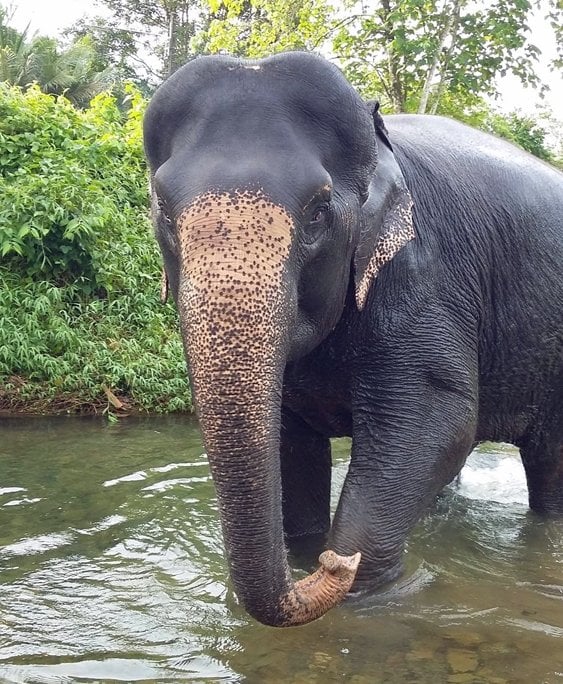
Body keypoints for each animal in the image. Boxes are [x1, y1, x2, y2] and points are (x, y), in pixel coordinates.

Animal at [143, 51, 563, 628]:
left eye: (318, 212)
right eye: (163, 208)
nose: (332, 564)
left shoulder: (424, 277)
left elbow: (435, 422)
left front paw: (357, 579)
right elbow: (291, 441)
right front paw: (309, 554)